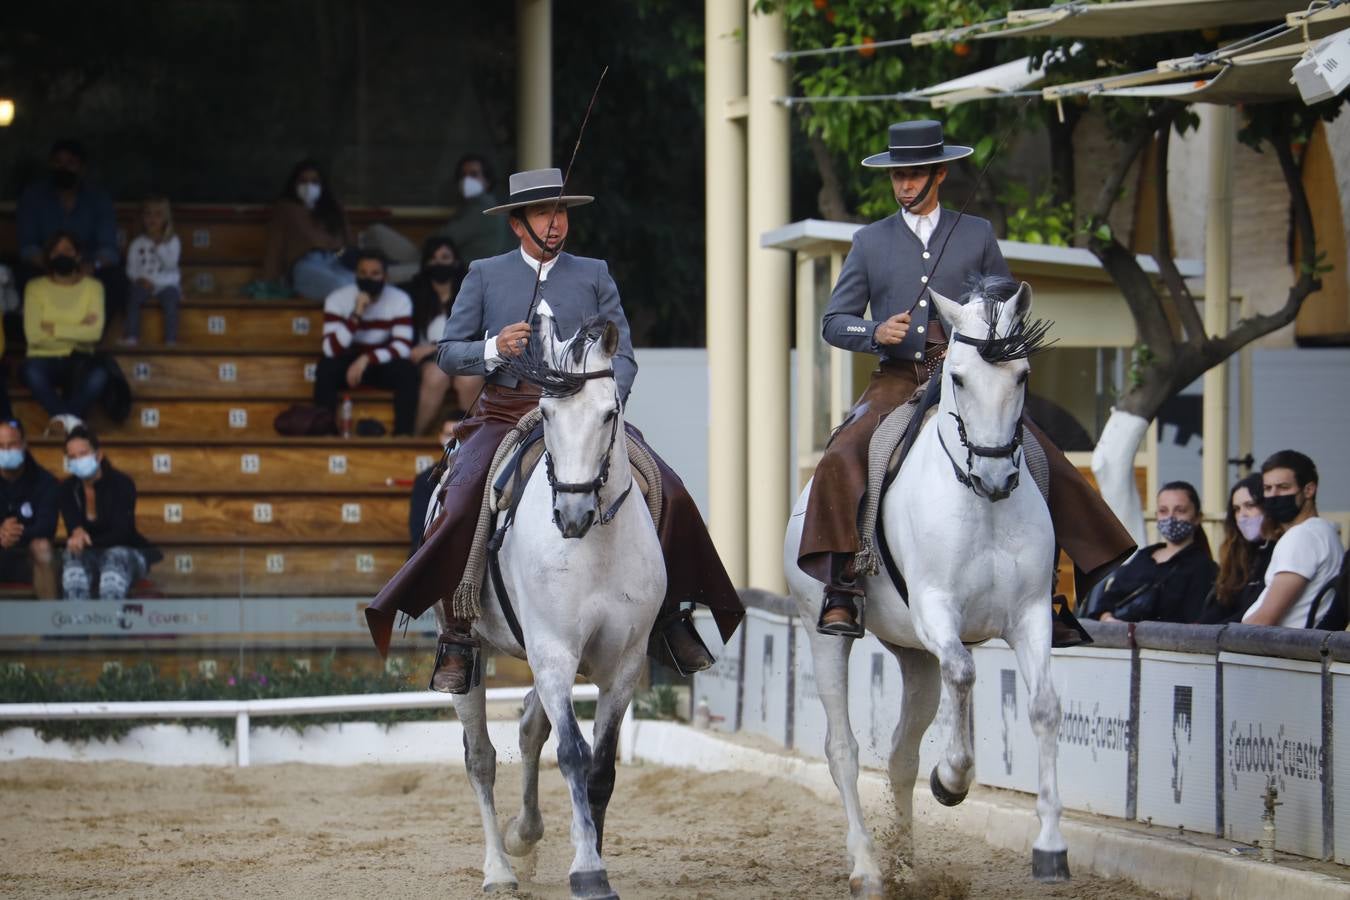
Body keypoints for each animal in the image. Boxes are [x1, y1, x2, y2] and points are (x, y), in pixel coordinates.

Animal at [448, 311, 664, 900]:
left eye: (610, 412)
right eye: (545, 413)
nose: (571, 514)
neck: (596, 545)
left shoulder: (622, 665)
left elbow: (601, 769)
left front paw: (589, 855)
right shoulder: (553, 651)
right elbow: (571, 754)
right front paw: (587, 869)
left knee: (528, 726)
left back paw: (525, 836)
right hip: (476, 653)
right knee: (480, 757)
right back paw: (499, 869)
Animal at [788, 277, 1069, 895]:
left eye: (1022, 376)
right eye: (958, 377)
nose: (996, 475)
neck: (982, 504)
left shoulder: (1031, 615)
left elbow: (1042, 706)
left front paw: (1050, 847)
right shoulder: (937, 611)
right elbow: (964, 671)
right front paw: (953, 780)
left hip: (913, 656)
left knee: (900, 754)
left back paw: (906, 864)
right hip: (825, 637)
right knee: (842, 750)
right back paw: (868, 868)